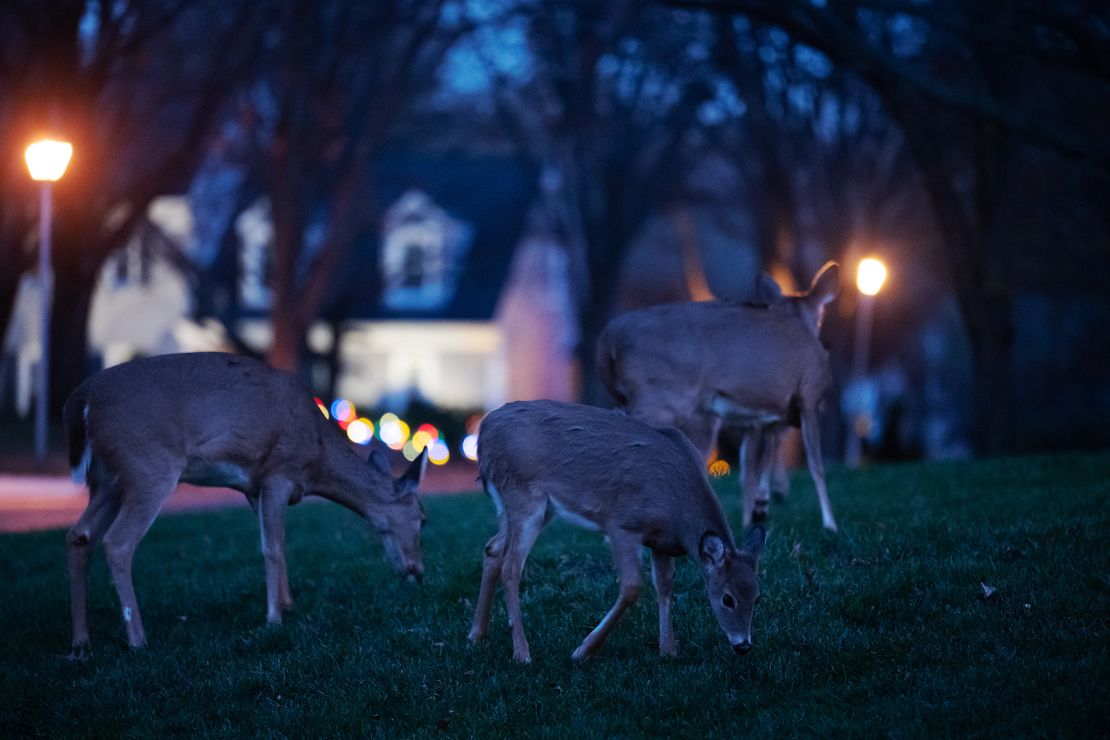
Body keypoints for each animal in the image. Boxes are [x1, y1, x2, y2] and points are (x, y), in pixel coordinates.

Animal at [60, 352, 426, 661]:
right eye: (423, 519)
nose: (418, 571)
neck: (318, 458)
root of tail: (83, 398)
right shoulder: (278, 472)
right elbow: (273, 547)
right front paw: (274, 618)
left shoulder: (254, 487)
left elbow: (276, 541)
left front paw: (287, 604)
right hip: (148, 467)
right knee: (118, 542)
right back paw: (137, 639)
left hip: (107, 480)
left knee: (80, 535)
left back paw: (80, 643)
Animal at [466, 401, 763, 661]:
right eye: (727, 599)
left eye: (757, 597)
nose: (744, 646)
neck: (677, 509)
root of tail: (484, 430)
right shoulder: (622, 525)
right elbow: (632, 587)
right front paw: (582, 651)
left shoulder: (661, 541)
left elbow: (665, 585)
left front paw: (668, 649)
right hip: (524, 496)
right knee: (511, 566)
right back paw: (522, 653)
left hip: (533, 506)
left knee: (493, 548)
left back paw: (476, 635)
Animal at [599, 262, 839, 530]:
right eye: (820, 317)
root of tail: (608, 341)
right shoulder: (809, 396)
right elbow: (815, 464)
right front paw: (830, 524)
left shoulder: (760, 419)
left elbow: (753, 471)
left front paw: (757, 514)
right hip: (661, 400)